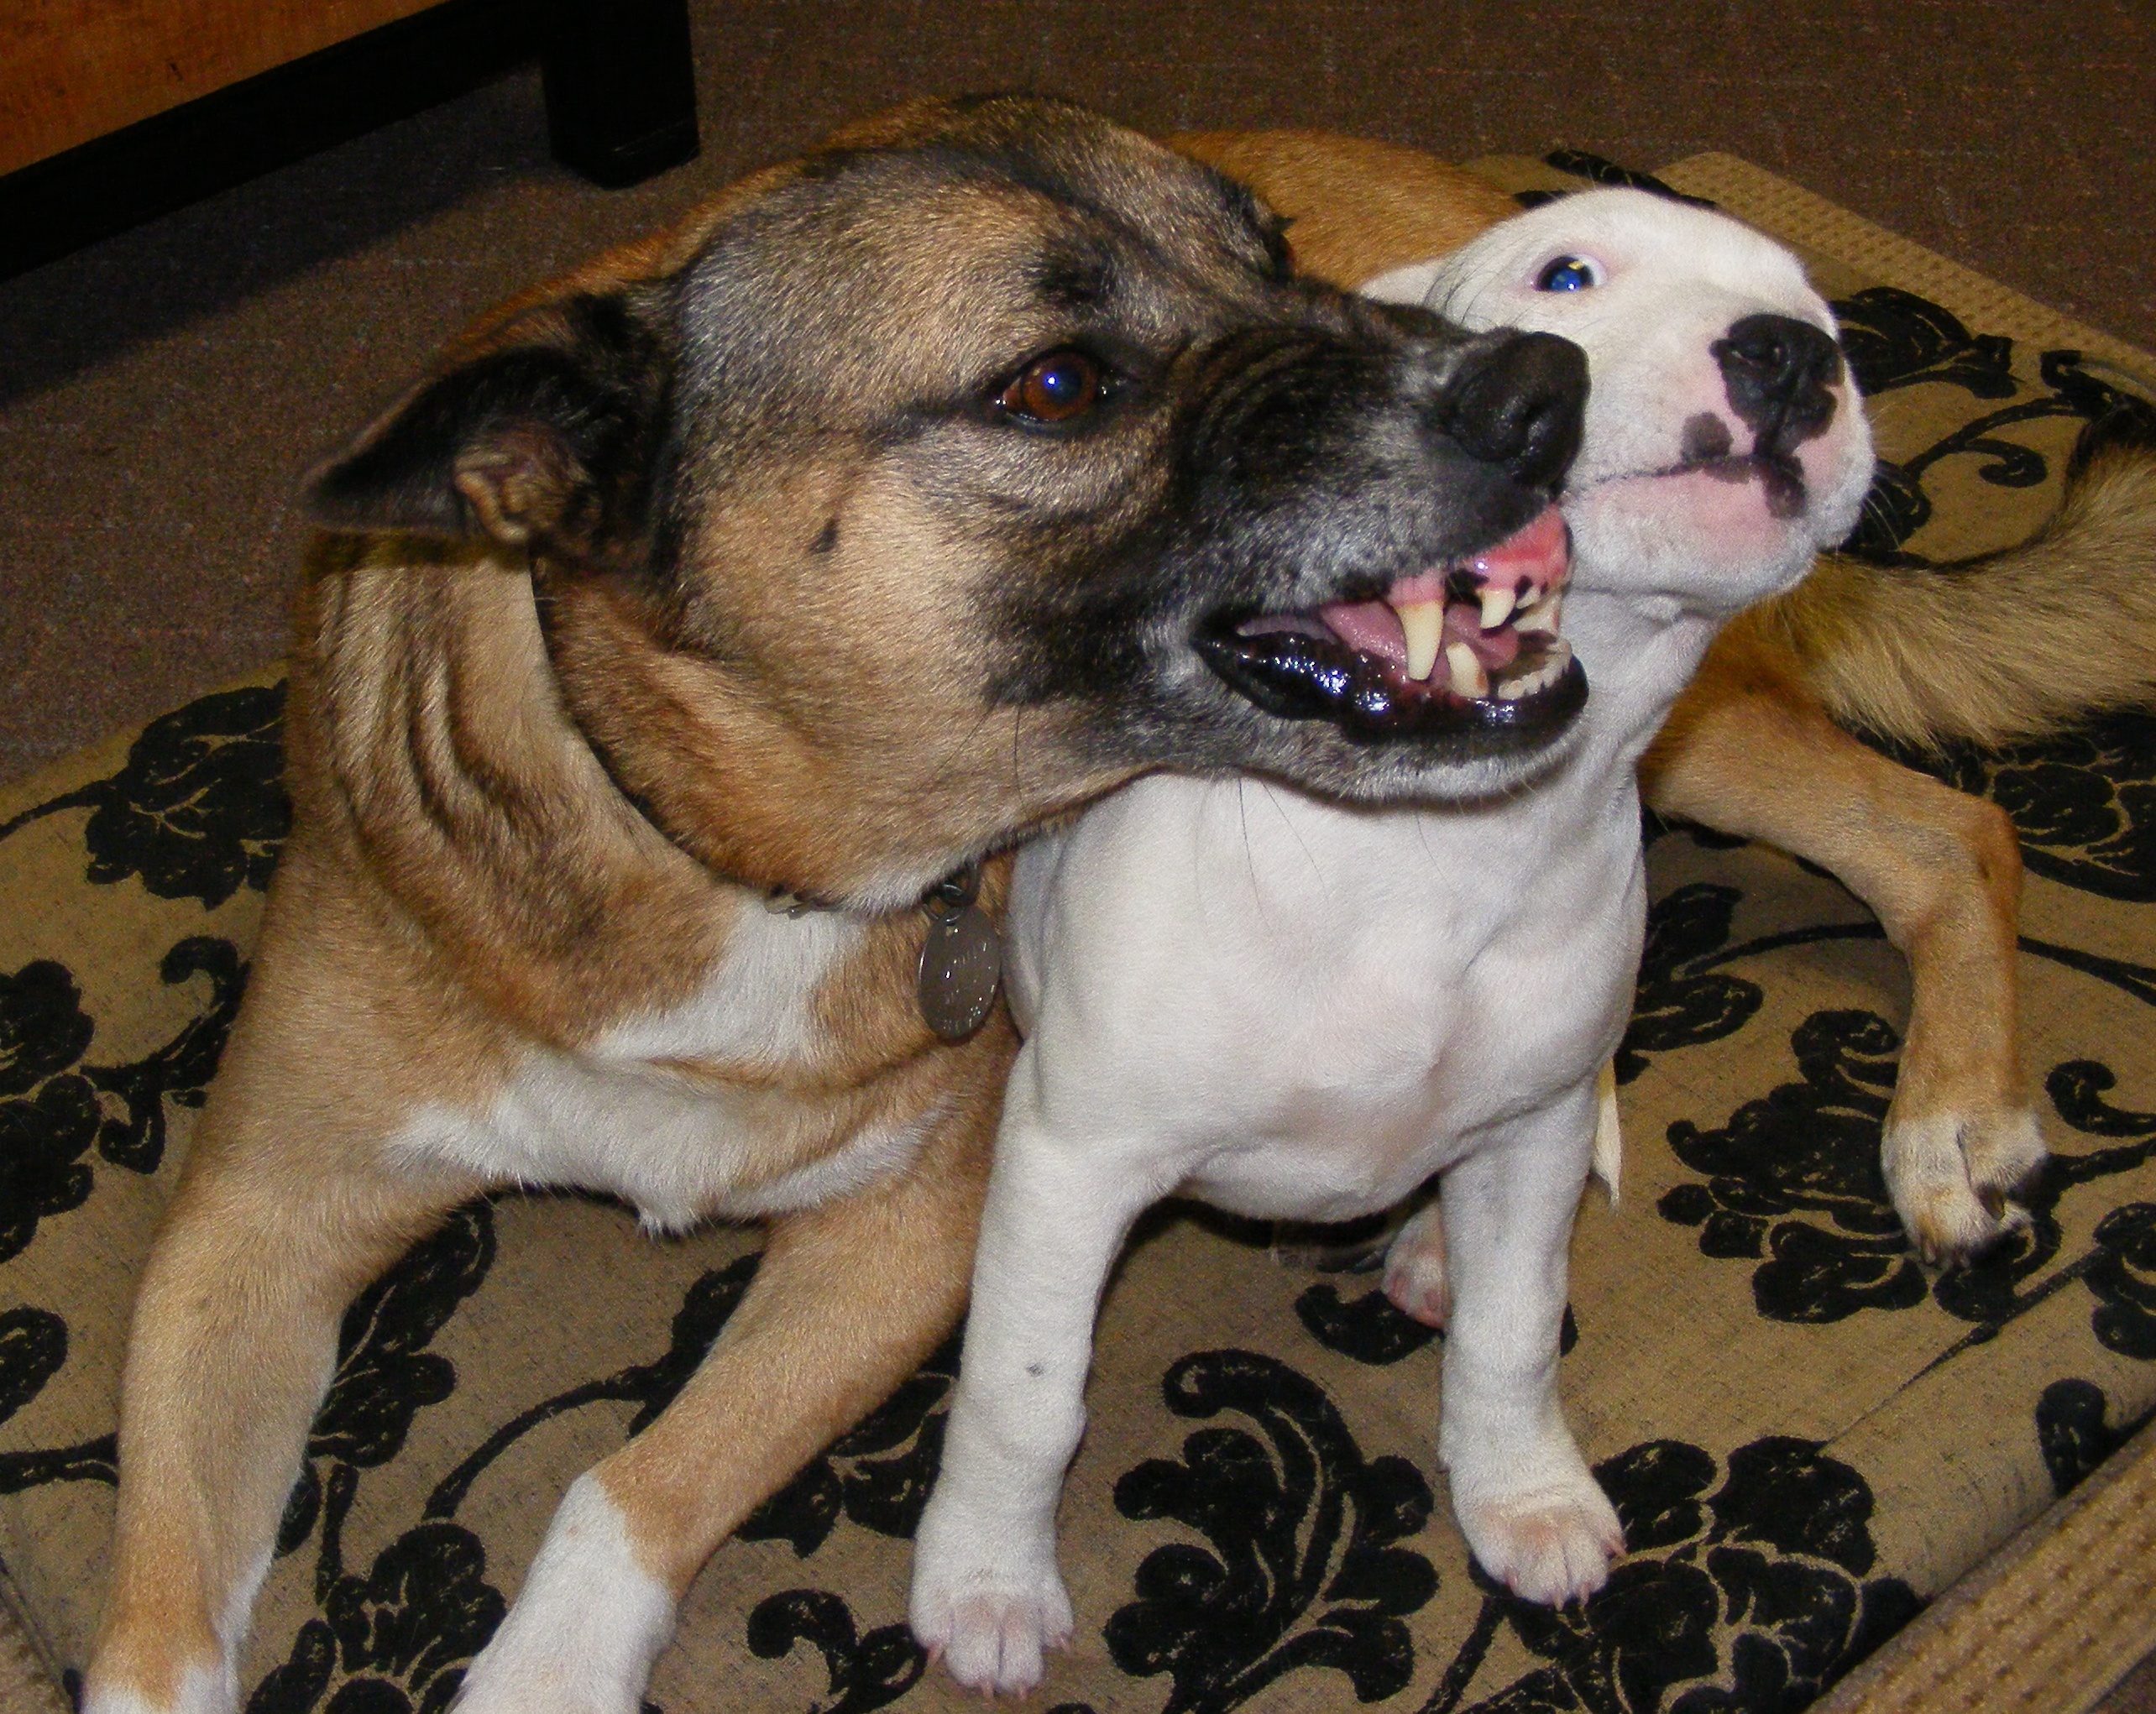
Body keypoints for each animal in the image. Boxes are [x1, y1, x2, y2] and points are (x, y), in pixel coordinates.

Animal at [88, 101, 1604, 1714]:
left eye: (1273, 250)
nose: (1543, 385)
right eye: (1057, 384)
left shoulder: (904, 1231)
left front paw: (543, 1665)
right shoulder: (250, 1231)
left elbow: (626, 1480)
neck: (712, 850)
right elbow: (154, 1627)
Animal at [905, 184, 1871, 1690]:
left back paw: (1428, 1250)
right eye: (1569, 273)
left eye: (1824, 317)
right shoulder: (1072, 1158)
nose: (1789, 353)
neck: (1443, 850)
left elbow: (1515, 1333)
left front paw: (1523, 1492)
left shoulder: (1533, 1129)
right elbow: (1025, 1389)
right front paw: (986, 1584)